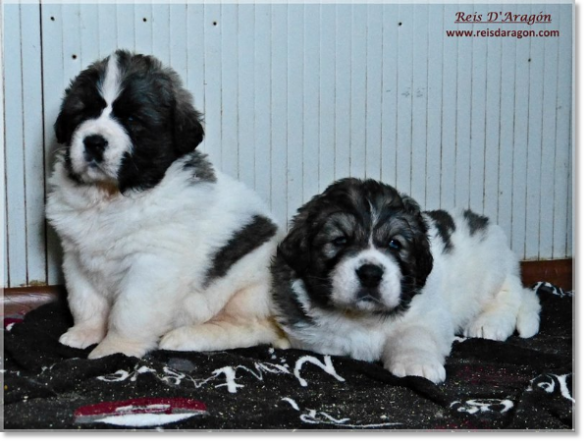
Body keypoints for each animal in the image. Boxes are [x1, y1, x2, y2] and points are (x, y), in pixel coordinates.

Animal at [46, 49, 286, 360]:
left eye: (132, 119)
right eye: (84, 113)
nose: (94, 142)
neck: (113, 198)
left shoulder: (152, 265)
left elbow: (129, 313)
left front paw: (113, 351)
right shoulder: (76, 257)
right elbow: (86, 300)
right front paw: (85, 333)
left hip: (251, 286)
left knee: (254, 328)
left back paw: (185, 337)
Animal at [272, 179, 540, 384]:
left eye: (394, 243)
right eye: (340, 241)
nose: (370, 274)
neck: (364, 317)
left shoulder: (428, 314)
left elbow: (415, 335)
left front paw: (417, 364)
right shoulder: (311, 335)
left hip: (490, 267)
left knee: (511, 293)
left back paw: (489, 324)